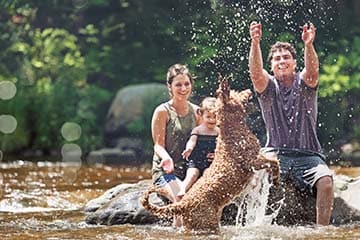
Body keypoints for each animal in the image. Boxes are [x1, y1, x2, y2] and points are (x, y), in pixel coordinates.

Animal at [140, 75, 278, 232]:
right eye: (236, 93)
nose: (250, 90)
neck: (233, 130)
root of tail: (183, 205)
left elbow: (273, 162)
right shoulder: (251, 161)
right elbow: (274, 162)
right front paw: (276, 179)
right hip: (208, 224)